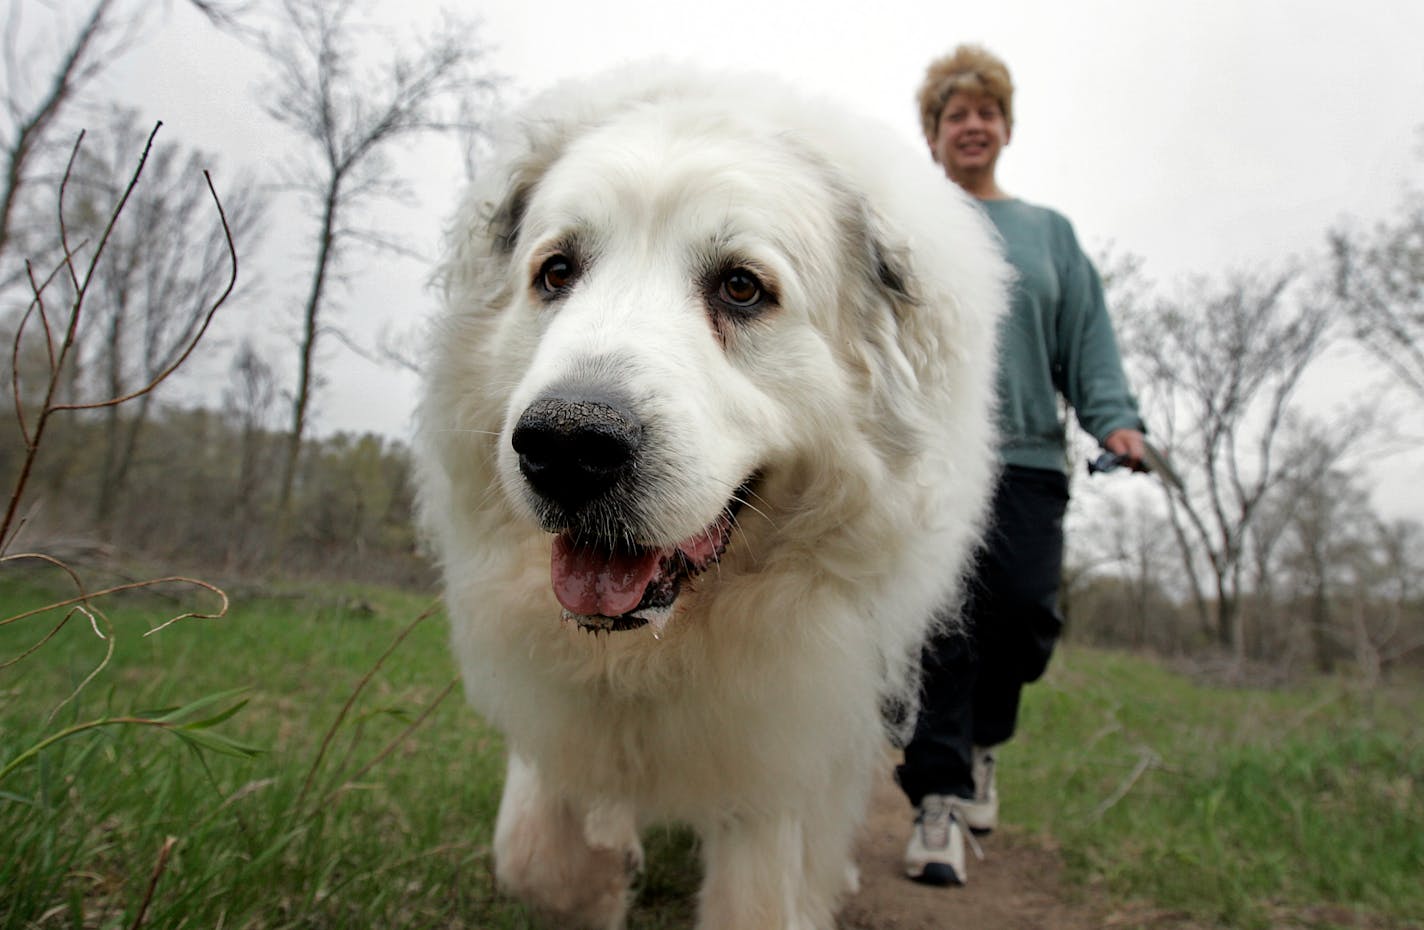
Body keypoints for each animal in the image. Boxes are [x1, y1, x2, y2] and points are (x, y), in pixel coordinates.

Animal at [415, 66, 1008, 928]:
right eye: (557, 273)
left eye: (740, 287)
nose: (567, 446)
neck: (671, 644)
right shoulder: (558, 701)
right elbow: (533, 857)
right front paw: (602, 874)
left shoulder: (788, 721)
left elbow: (759, 892)